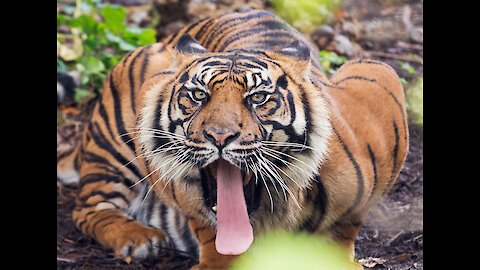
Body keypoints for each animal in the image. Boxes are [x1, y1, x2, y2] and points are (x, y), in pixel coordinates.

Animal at [56, 8, 408, 270]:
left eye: (258, 97)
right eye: (199, 95)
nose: (219, 136)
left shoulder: (378, 78)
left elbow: (345, 229)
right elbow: (207, 229)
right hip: (116, 142)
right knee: (88, 210)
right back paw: (141, 239)